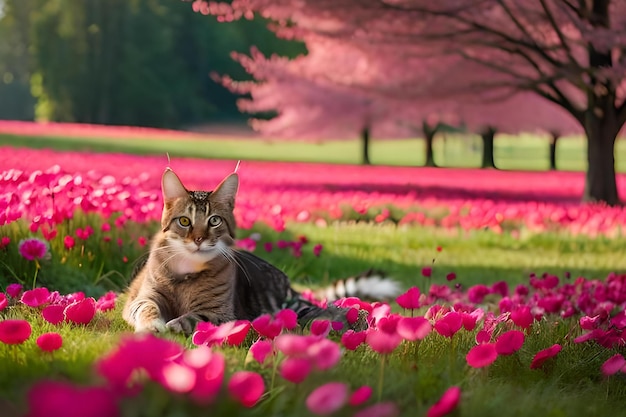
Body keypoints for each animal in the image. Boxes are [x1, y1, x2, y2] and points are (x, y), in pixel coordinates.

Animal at [120, 167, 400, 334]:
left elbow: (191, 318)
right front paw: (153, 326)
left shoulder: (220, 313)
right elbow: (146, 308)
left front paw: (173, 325)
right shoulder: (142, 297)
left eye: (214, 221)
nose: (198, 239)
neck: (187, 270)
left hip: (292, 307)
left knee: (330, 310)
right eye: (185, 221)